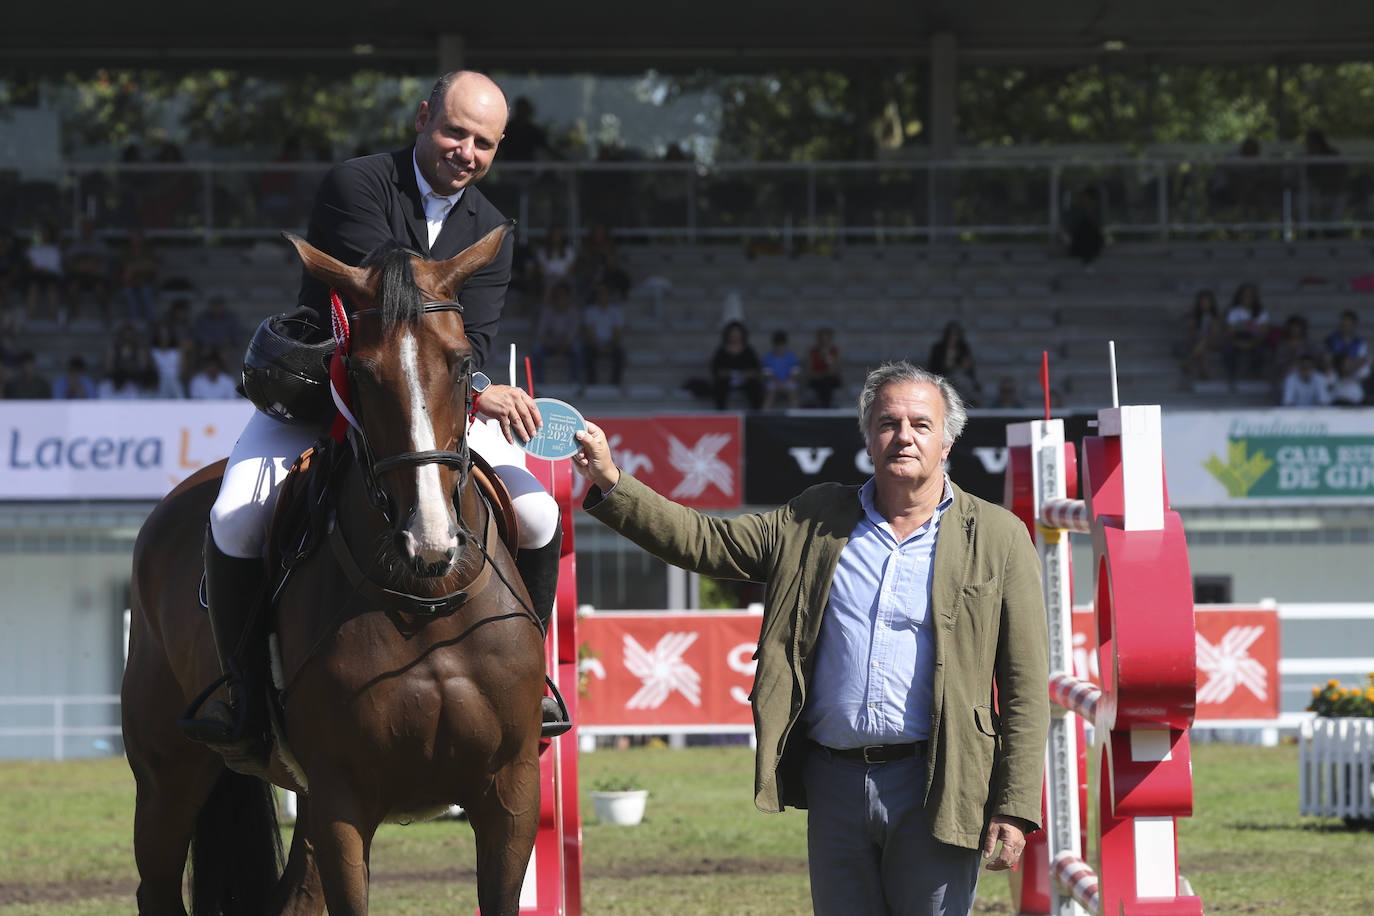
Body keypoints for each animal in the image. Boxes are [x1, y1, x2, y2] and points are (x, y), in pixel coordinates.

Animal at [120, 223, 544, 916]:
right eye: (363, 373)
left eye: (462, 364)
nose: (428, 542)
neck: (426, 601)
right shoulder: (344, 801)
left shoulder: (510, 791)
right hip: (167, 776)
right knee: (155, 883)